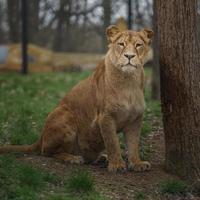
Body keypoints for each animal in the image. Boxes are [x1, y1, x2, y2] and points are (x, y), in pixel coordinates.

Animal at [0, 25, 153, 172]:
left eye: (138, 45)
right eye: (121, 44)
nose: (129, 56)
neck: (129, 81)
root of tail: (41, 137)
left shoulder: (135, 119)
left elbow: (133, 144)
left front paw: (137, 163)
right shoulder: (106, 117)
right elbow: (113, 143)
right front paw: (116, 165)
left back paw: (100, 158)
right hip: (65, 116)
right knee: (48, 152)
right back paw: (73, 158)